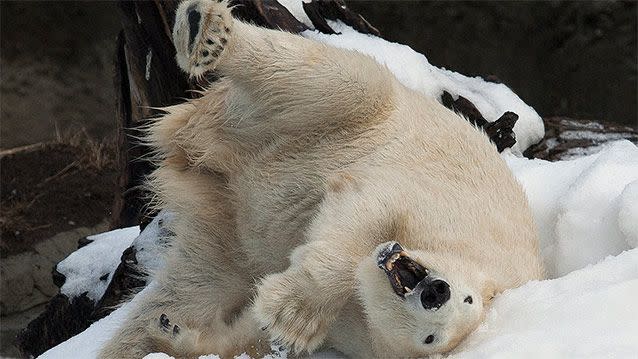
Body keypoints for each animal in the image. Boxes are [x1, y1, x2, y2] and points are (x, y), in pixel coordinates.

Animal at [99, 1, 544, 358]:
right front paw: (293, 309)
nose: (436, 291)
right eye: (466, 297)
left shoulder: (356, 335)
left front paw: (182, 333)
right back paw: (205, 31)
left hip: (226, 232)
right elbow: (366, 205)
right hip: (342, 117)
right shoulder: (448, 214)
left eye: (432, 337)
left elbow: (248, 333)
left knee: (192, 287)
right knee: (337, 78)